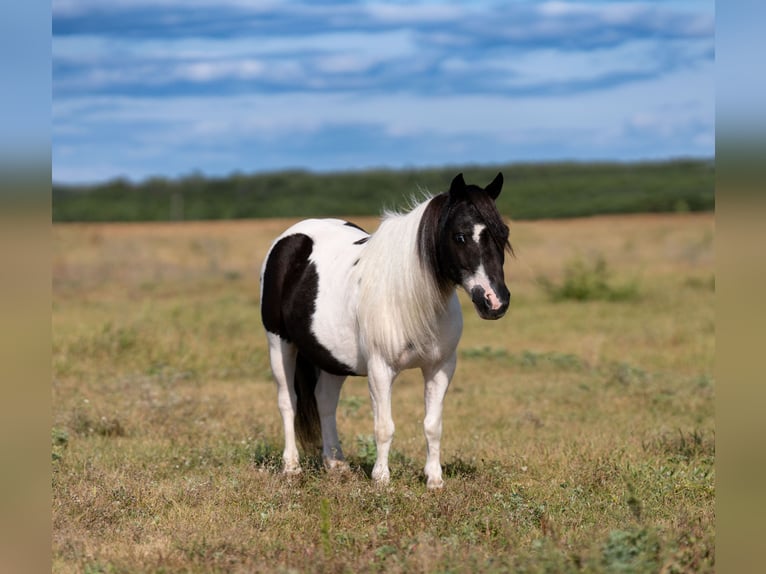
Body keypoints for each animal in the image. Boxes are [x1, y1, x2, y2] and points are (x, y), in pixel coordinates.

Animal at [259, 172, 512, 488]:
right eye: (460, 236)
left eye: (504, 234)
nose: (495, 302)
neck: (410, 294)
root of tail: (291, 237)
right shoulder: (380, 369)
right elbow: (384, 426)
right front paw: (381, 479)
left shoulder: (440, 367)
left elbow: (433, 425)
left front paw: (434, 480)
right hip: (279, 344)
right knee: (288, 402)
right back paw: (291, 467)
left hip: (332, 358)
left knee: (325, 401)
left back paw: (336, 463)